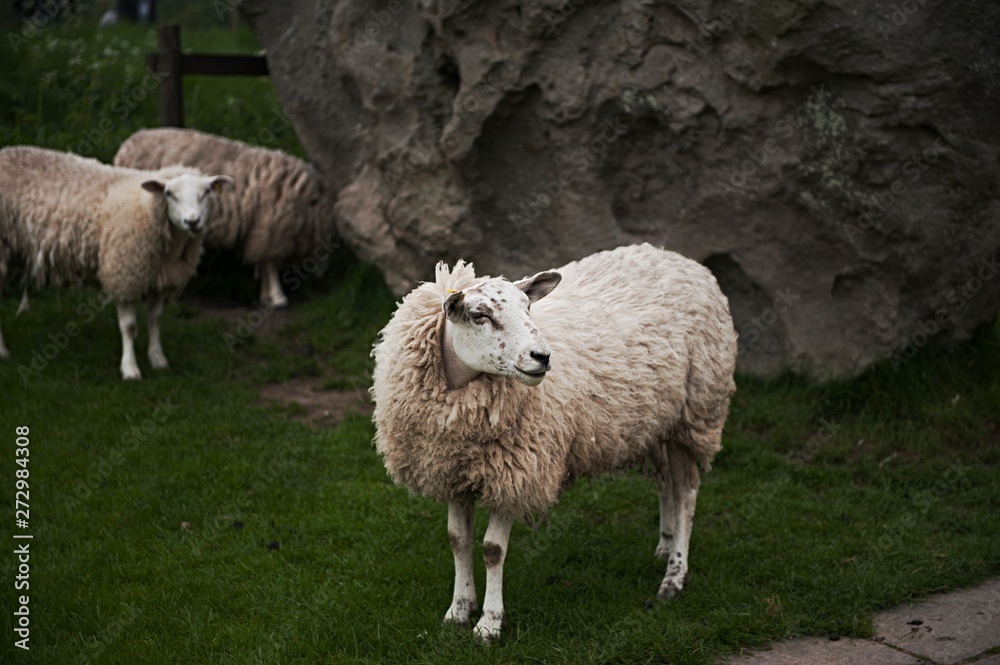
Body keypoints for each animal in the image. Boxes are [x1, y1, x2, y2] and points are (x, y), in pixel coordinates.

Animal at [0, 145, 232, 378]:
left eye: (207, 192)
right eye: (169, 193)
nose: (192, 221)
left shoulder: (160, 277)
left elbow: (155, 318)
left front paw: (158, 358)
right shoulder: (124, 272)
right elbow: (128, 326)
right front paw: (130, 369)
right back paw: (3, 352)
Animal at [114, 127, 336, 308]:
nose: (322, 279)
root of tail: (126, 145)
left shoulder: (262, 226)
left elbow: (264, 261)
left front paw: (267, 296)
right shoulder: (271, 226)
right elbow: (270, 262)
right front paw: (277, 296)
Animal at [372, 241, 740, 640]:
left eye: (528, 306)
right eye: (479, 315)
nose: (542, 357)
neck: (461, 407)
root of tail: (678, 258)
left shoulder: (517, 471)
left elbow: (492, 549)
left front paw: (489, 624)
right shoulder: (452, 467)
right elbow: (458, 540)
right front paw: (458, 610)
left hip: (696, 410)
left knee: (686, 491)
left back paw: (674, 576)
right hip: (658, 422)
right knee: (667, 484)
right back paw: (666, 543)